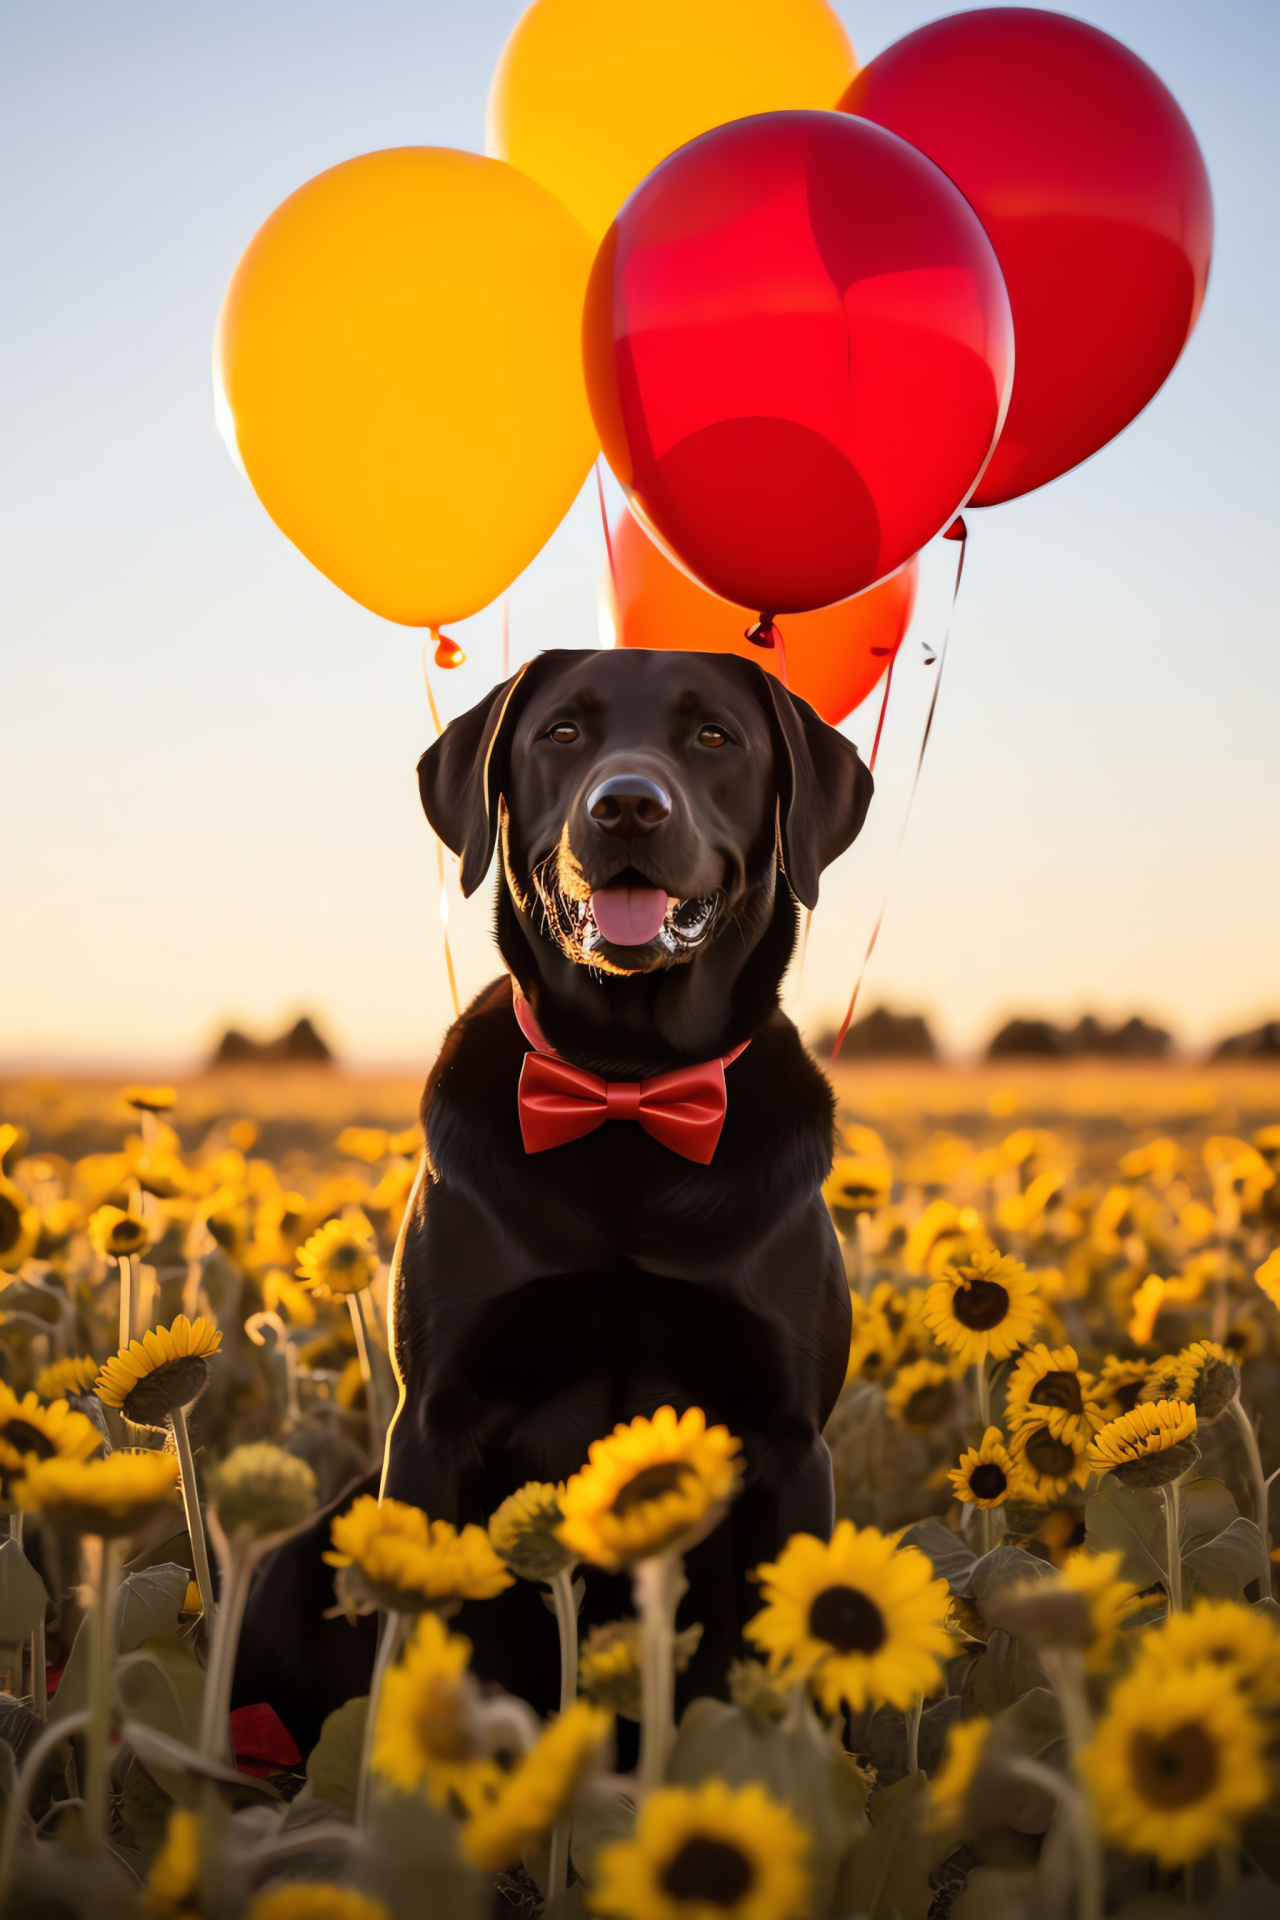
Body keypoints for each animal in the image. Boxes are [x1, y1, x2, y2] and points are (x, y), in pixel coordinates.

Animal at [233, 652, 871, 1751]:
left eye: (713, 737)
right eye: (562, 734)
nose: (626, 806)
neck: (625, 1085)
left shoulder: (789, 1441)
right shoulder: (433, 1424)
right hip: (310, 1544)